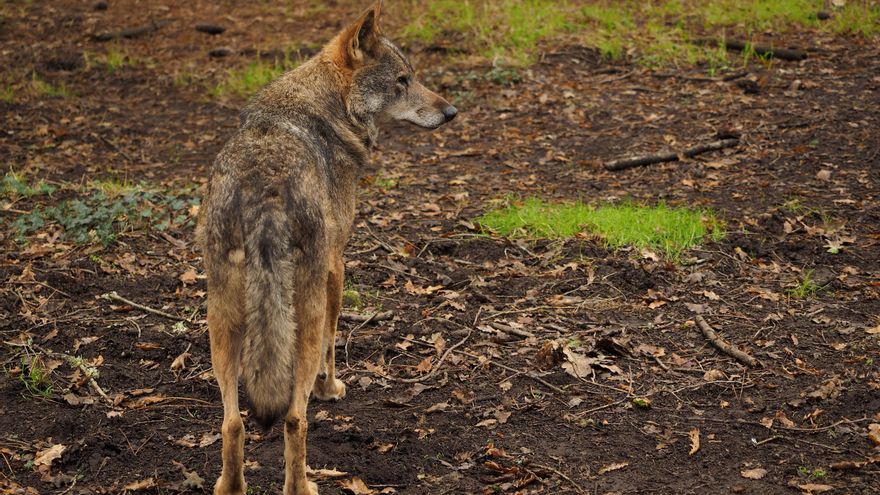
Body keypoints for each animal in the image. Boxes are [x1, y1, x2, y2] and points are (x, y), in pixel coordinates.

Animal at [196, 2, 456, 494]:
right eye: (402, 80)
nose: (451, 112)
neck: (327, 107)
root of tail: (265, 191)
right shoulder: (337, 267)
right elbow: (333, 345)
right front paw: (329, 389)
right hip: (303, 312)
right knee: (294, 419)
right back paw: (302, 485)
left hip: (221, 321)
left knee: (233, 422)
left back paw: (230, 485)